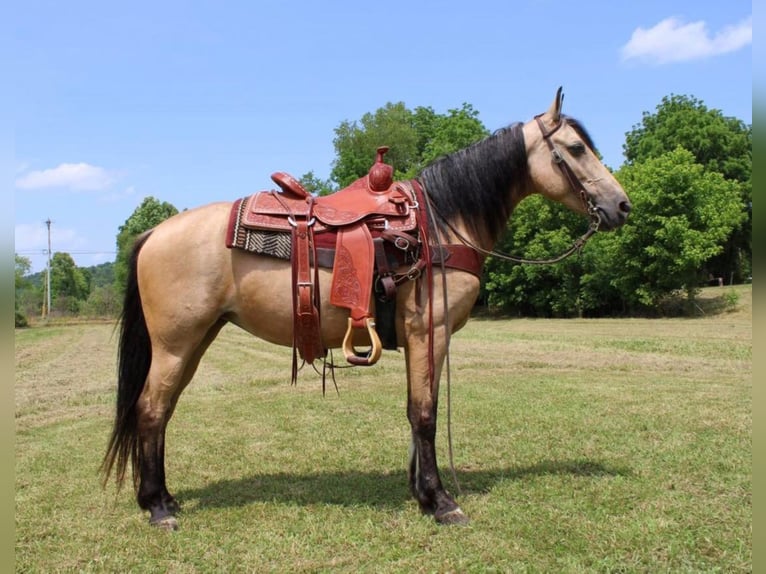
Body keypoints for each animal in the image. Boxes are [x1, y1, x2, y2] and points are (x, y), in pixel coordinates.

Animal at [100, 88, 632, 532]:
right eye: (577, 148)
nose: (622, 206)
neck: (442, 223)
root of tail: (154, 232)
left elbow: (417, 411)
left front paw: (419, 491)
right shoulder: (429, 331)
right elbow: (424, 413)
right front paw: (440, 502)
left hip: (196, 340)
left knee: (163, 410)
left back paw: (164, 497)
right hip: (176, 343)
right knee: (150, 410)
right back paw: (158, 507)